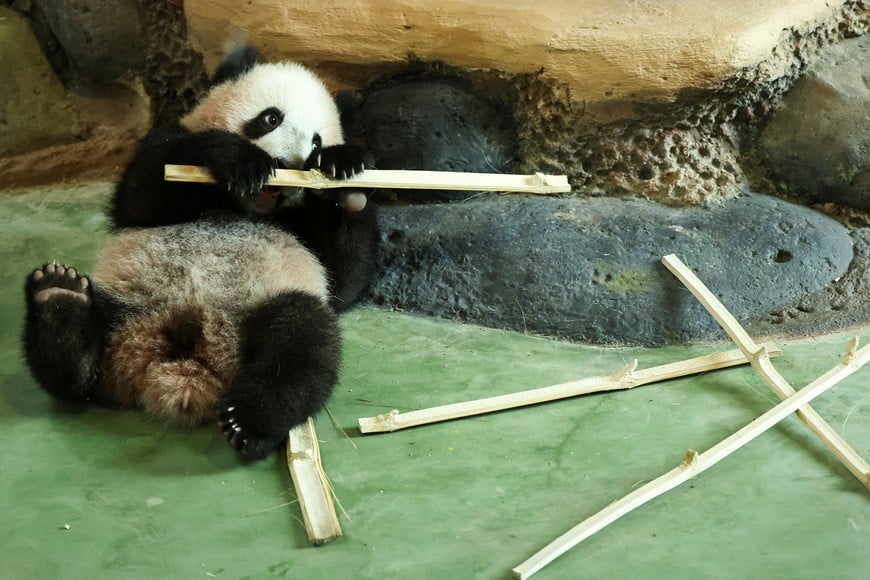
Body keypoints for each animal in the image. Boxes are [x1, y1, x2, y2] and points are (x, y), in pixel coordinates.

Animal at [22, 46, 378, 459]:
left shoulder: (304, 233)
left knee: (302, 344)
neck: (241, 206)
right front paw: (238, 160)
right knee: (84, 362)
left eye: (317, 143)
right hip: (129, 299)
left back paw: (249, 421)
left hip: (265, 301)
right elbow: (144, 189)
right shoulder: (171, 138)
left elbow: (342, 279)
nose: (286, 164)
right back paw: (59, 306)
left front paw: (346, 174)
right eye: (270, 118)